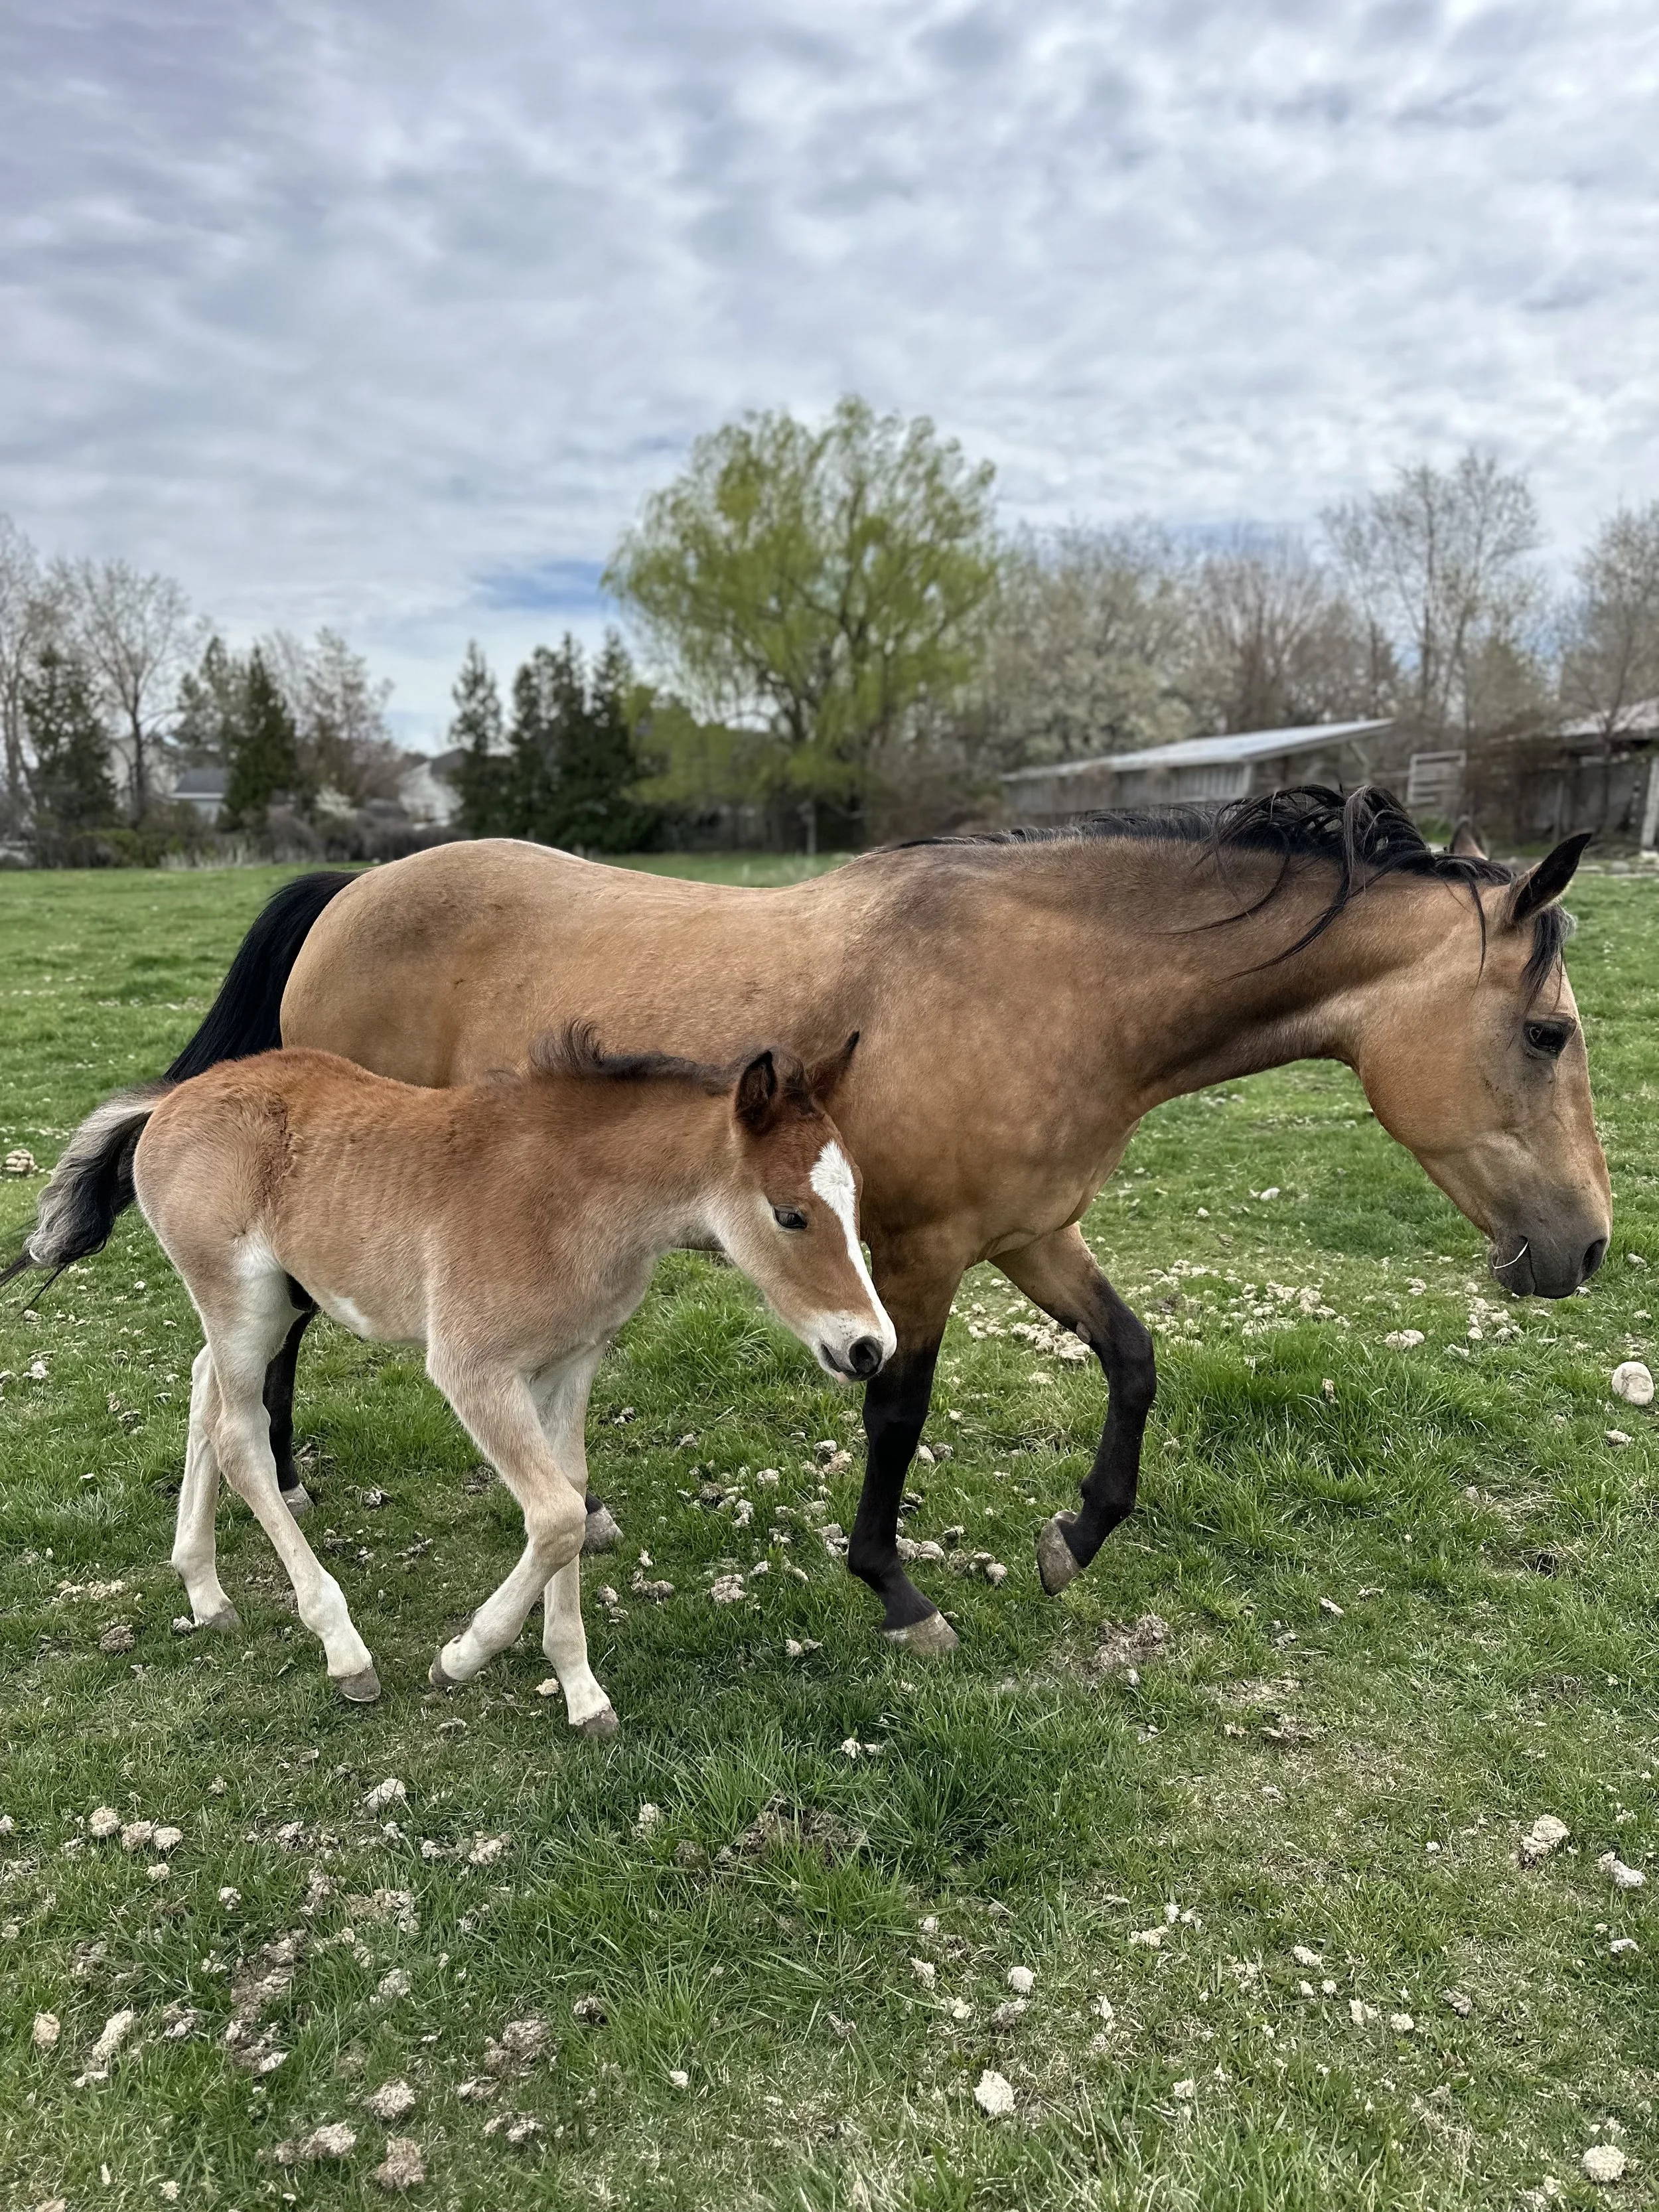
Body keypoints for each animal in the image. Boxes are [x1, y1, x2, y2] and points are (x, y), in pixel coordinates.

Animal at [7, 1028, 893, 1728]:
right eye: (789, 1214)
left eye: (854, 1200)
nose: (868, 1348)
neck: (570, 1200)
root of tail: (170, 1100)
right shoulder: (472, 1369)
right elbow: (557, 1517)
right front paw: (461, 1658)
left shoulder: (571, 1363)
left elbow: (571, 1493)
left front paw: (581, 1691)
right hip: (239, 1298)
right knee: (238, 1435)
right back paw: (342, 1647)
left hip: (271, 1304)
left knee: (202, 1389)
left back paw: (205, 1592)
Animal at [74, 784, 1611, 1655]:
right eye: (1545, 1033)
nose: (1588, 1247)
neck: (1050, 985)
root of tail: (356, 885)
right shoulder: (919, 1257)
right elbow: (897, 1413)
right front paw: (895, 1589)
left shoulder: (1030, 1233)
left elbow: (1133, 1359)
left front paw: (1075, 1536)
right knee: (266, 1346)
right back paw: (284, 1482)